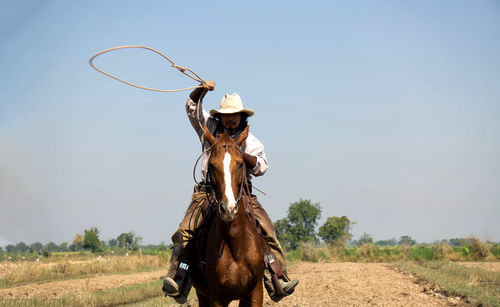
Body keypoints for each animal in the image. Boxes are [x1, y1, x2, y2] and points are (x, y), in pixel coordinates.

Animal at [188, 126, 266, 306]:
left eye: (240, 164)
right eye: (212, 165)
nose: (228, 208)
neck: (236, 244)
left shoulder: (255, 292)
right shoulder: (217, 297)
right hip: (202, 295)